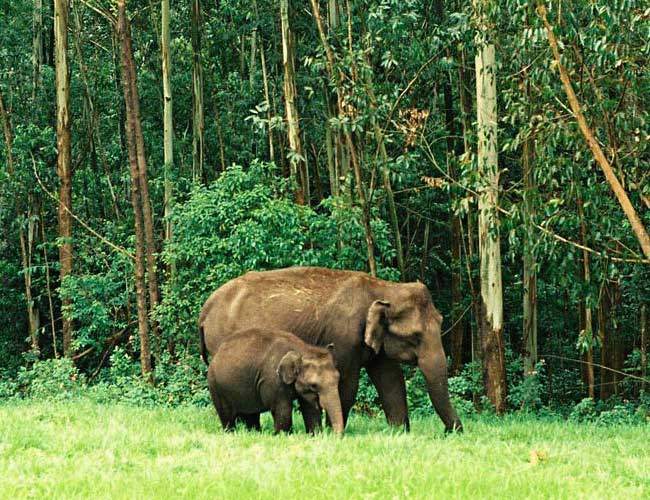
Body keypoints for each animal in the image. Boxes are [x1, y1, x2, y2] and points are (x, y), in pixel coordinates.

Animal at [206, 328, 344, 434]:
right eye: (313, 385)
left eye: (338, 379)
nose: (335, 436)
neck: (302, 349)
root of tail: (217, 353)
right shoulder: (274, 380)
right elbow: (283, 409)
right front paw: (282, 435)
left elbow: (309, 408)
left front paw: (315, 435)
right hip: (216, 386)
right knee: (227, 416)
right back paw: (231, 432)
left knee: (251, 415)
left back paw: (255, 433)